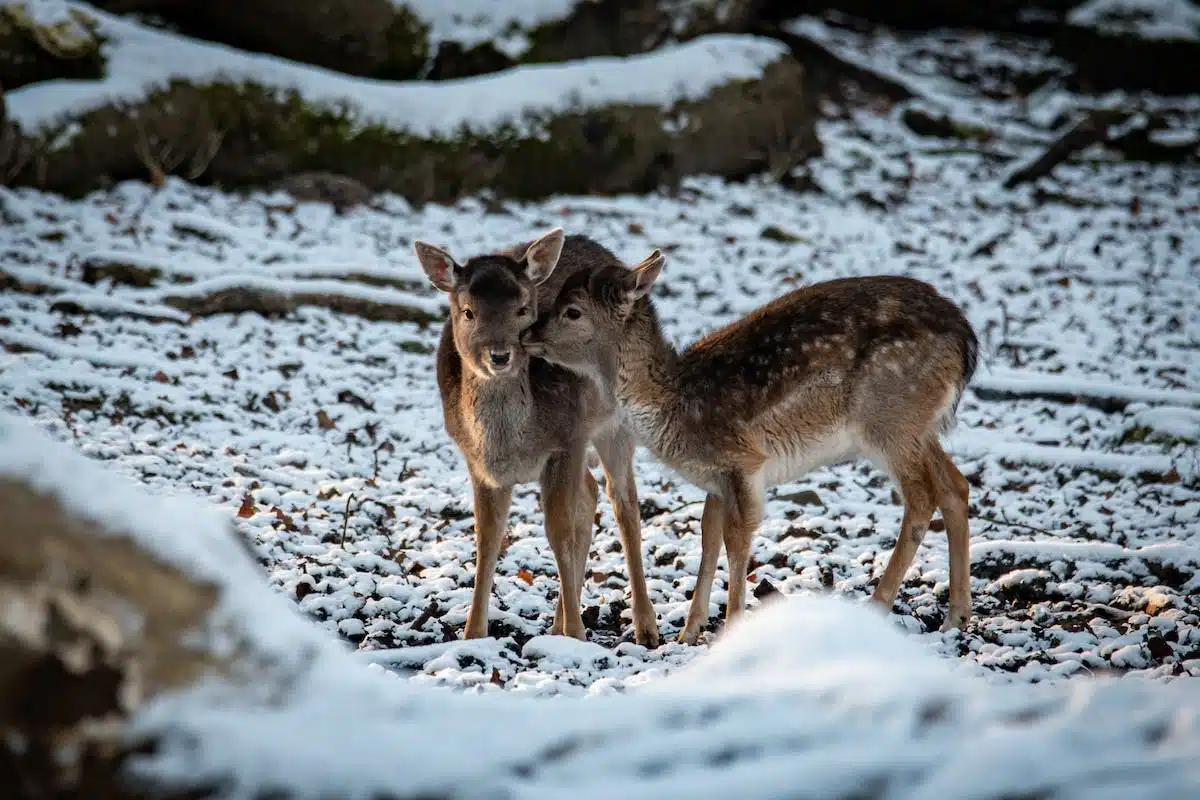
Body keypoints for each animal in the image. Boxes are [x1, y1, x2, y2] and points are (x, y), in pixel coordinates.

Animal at [410, 227, 657, 647]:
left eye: (523, 309)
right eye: (468, 311)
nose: (499, 355)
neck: (512, 445)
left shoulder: (567, 441)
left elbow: (559, 532)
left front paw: (576, 634)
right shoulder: (477, 462)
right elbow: (488, 538)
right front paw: (472, 633)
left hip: (616, 422)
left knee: (623, 503)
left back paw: (644, 626)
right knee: (590, 493)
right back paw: (558, 622)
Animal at [523, 256, 974, 642]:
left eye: (572, 311)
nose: (528, 334)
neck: (675, 407)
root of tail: (967, 343)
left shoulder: (743, 460)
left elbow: (737, 538)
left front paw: (730, 623)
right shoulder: (719, 474)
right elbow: (709, 534)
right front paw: (689, 630)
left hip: (889, 418)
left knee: (922, 496)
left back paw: (879, 604)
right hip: (919, 426)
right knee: (956, 485)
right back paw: (956, 616)